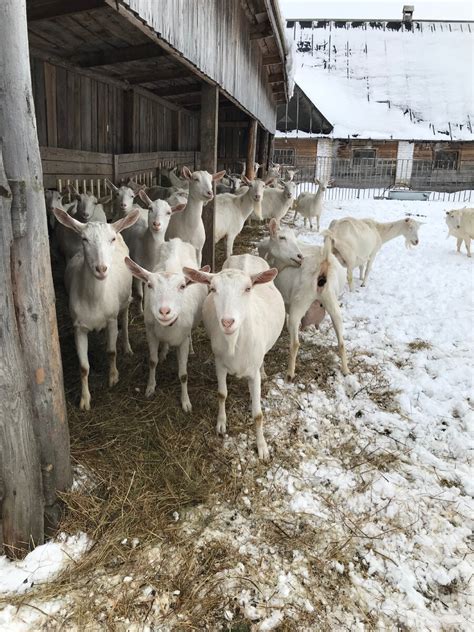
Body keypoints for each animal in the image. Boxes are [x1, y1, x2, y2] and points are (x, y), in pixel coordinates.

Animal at [53, 206, 141, 410]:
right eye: (84, 239)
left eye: (111, 239)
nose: (101, 269)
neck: (94, 300)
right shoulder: (78, 327)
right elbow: (84, 367)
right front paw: (85, 400)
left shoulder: (111, 319)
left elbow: (111, 351)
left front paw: (113, 377)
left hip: (125, 300)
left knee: (125, 321)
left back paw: (127, 346)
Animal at [125, 239, 208, 412]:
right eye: (149, 285)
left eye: (182, 286)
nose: (164, 311)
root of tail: (177, 240)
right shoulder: (150, 332)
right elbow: (152, 361)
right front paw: (150, 388)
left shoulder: (182, 340)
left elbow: (183, 374)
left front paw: (186, 402)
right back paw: (163, 352)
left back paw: (191, 349)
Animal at [183, 254, 284, 462]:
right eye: (213, 289)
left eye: (248, 288)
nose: (228, 322)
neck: (234, 342)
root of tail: (247, 255)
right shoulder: (220, 365)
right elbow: (222, 394)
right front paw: (221, 424)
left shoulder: (253, 373)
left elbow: (258, 414)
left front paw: (262, 448)